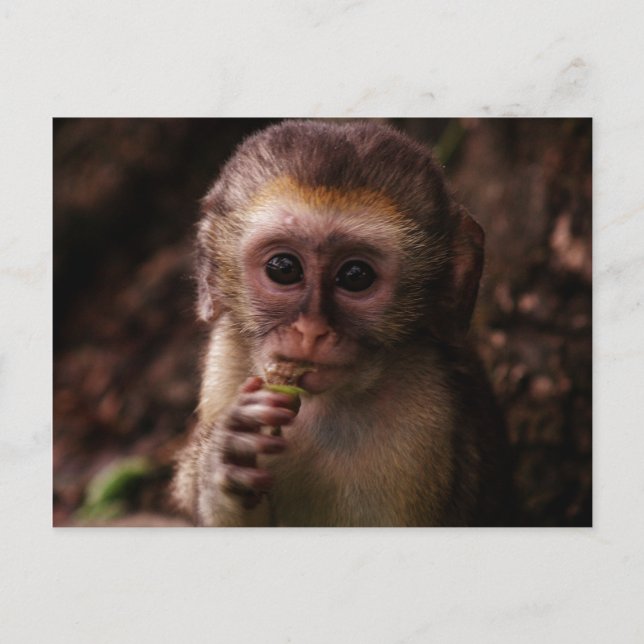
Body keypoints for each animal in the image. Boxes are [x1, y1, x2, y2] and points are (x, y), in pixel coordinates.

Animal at [172, 119, 513, 527]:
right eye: (283, 268)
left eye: (355, 276)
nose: (311, 330)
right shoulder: (224, 363)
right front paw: (226, 460)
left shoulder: (423, 430)